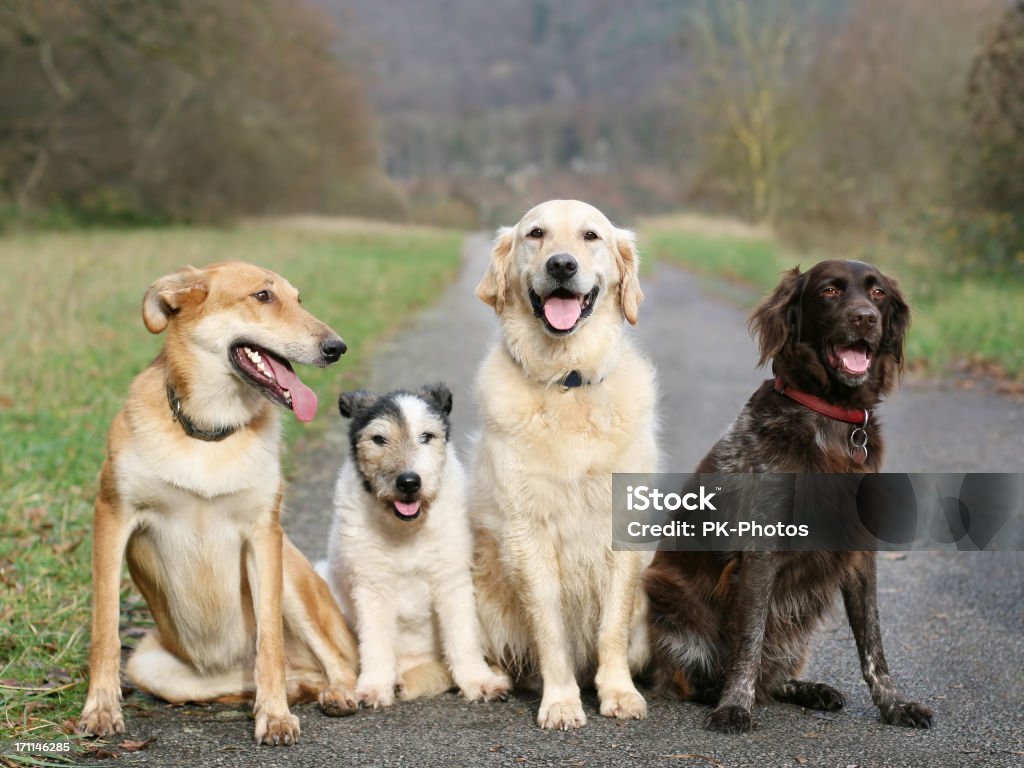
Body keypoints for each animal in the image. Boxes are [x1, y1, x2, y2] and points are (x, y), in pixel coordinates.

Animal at [78, 260, 360, 745]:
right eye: (263, 296)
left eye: (298, 299)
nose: (337, 348)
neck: (209, 430)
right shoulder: (112, 516)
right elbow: (106, 630)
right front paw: (101, 708)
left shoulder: (264, 535)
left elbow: (269, 641)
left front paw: (275, 716)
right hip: (152, 666)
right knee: (291, 676)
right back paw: (285, 691)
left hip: (292, 577)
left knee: (338, 665)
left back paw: (332, 693)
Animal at [468, 201, 655, 729]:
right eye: (536, 234)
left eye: (591, 236)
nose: (562, 266)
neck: (567, 380)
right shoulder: (528, 532)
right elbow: (549, 629)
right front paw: (560, 701)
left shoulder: (622, 526)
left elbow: (611, 626)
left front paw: (618, 692)